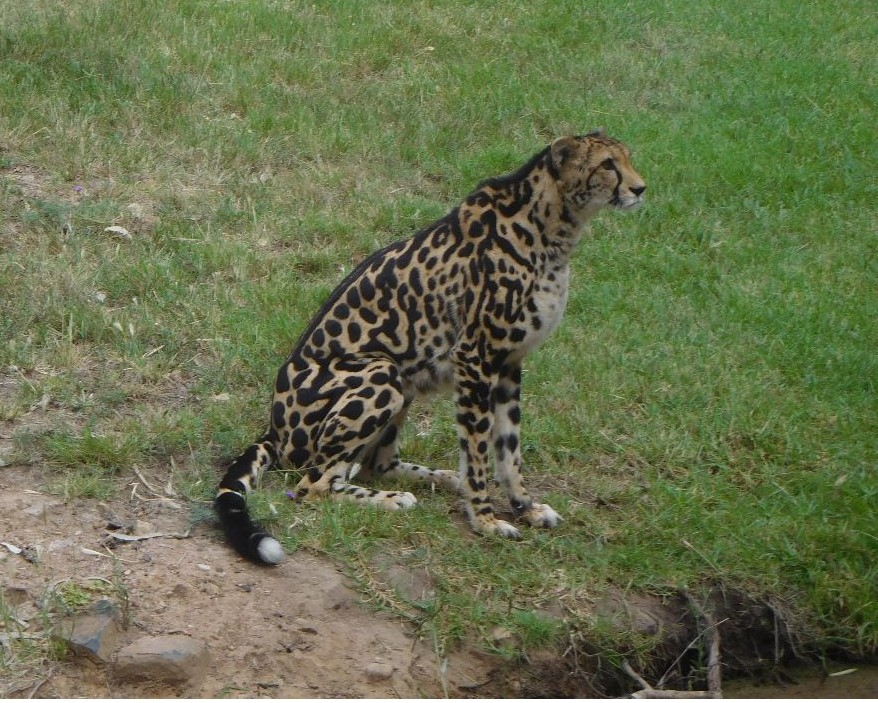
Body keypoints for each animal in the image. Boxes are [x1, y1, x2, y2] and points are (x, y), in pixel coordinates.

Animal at [215, 129, 645, 564]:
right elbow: (478, 450)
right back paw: (392, 499)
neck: (549, 224)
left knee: (375, 463)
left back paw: (439, 478)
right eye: (608, 165)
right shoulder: (475, 361)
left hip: (404, 381)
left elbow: (509, 451)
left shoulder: (509, 363)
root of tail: (274, 427)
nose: (640, 188)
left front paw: (526, 507)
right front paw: (485, 520)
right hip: (381, 370)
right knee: (312, 485)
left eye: (626, 158)